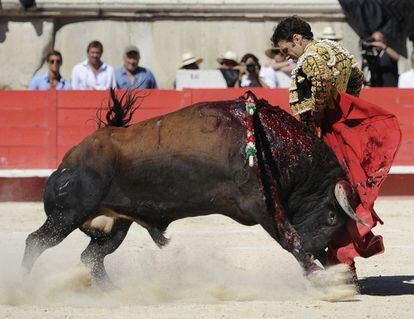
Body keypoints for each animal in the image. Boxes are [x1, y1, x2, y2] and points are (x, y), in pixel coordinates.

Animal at [22, 90, 366, 290]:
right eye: (333, 216)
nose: (321, 252)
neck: (272, 144)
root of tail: (66, 163)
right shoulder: (260, 202)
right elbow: (288, 236)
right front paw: (322, 277)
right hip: (67, 215)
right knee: (36, 241)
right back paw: (23, 287)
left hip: (116, 224)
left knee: (91, 257)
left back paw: (113, 292)